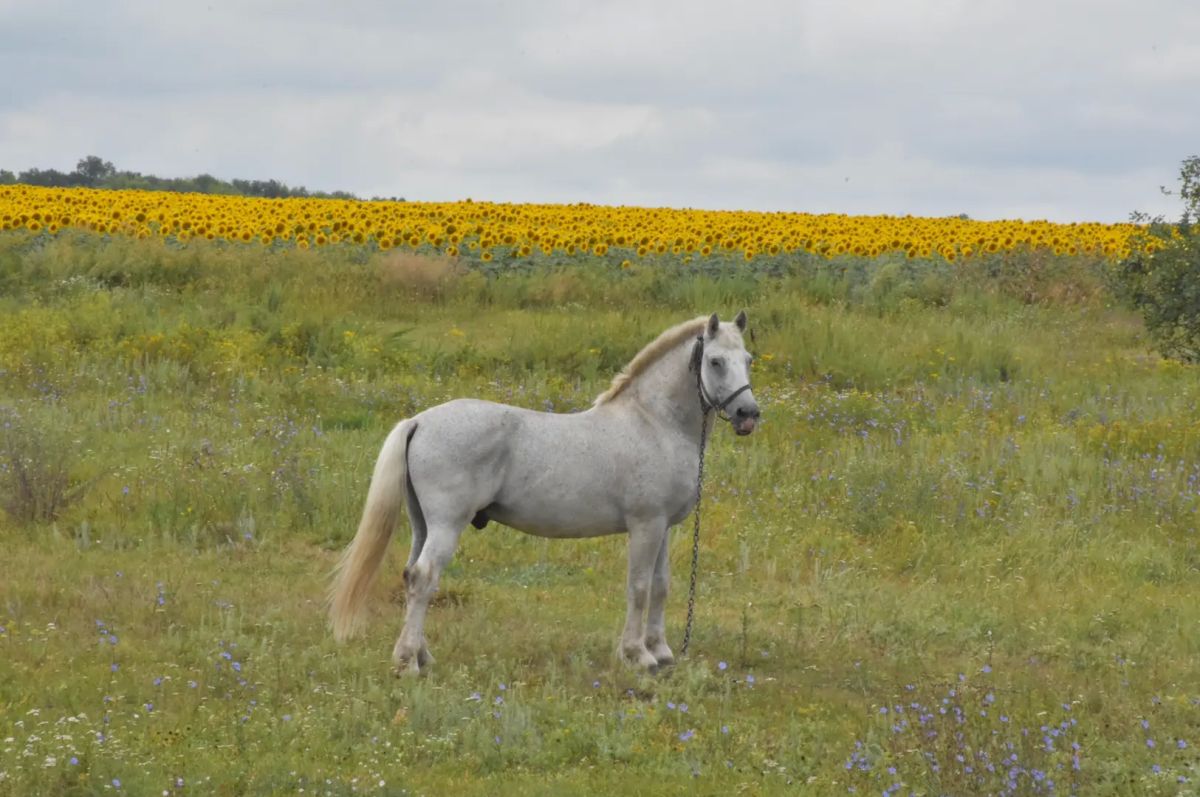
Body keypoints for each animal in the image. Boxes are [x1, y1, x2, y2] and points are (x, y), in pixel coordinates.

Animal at [329, 311, 760, 674]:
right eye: (715, 361)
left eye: (748, 359)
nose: (748, 414)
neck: (653, 422)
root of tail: (418, 421)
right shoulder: (646, 525)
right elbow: (638, 588)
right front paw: (638, 656)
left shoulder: (664, 528)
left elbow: (660, 586)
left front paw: (662, 652)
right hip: (447, 525)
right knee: (424, 577)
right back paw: (408, 662)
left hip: (422, 524)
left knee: (410, 575)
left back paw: (421, 655)